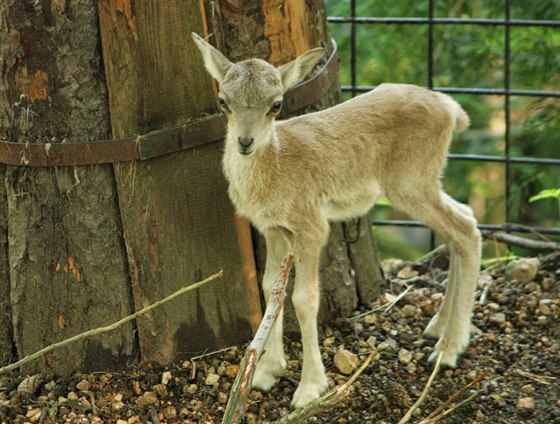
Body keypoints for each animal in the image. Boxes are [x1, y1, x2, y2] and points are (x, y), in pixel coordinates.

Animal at [192, 33, 482, 408]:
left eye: (276, 105)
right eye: (223, 100)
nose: (244, 142)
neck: (275, 170)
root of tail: (453, 110)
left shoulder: (312, 224)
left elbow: (304, 298)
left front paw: (309, 389)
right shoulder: (273, 228)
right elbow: (271, 287)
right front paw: (265, 374)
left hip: (411, 183)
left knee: (465, 230)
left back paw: (449, 349)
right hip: (424, 183)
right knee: (461, 223)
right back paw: (438, 327)